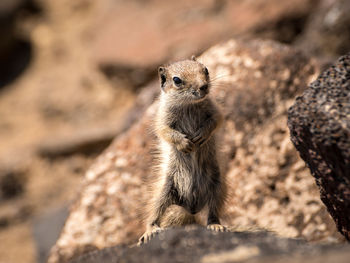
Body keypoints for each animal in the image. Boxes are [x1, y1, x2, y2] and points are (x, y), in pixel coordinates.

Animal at [138, 56, 226, 246]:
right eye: (177, 80)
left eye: (206, 69)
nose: (203, 86)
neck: (189, 105)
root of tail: (192, 209)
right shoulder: (162, 118)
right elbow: (166, 131)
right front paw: (184, 143)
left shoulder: (214, 109)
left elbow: (215, 120)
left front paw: (201, 135)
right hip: (164, 191)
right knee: (154, 212)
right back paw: (150, 231)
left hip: (217, 186)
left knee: (213, 212)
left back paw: (216, 225)